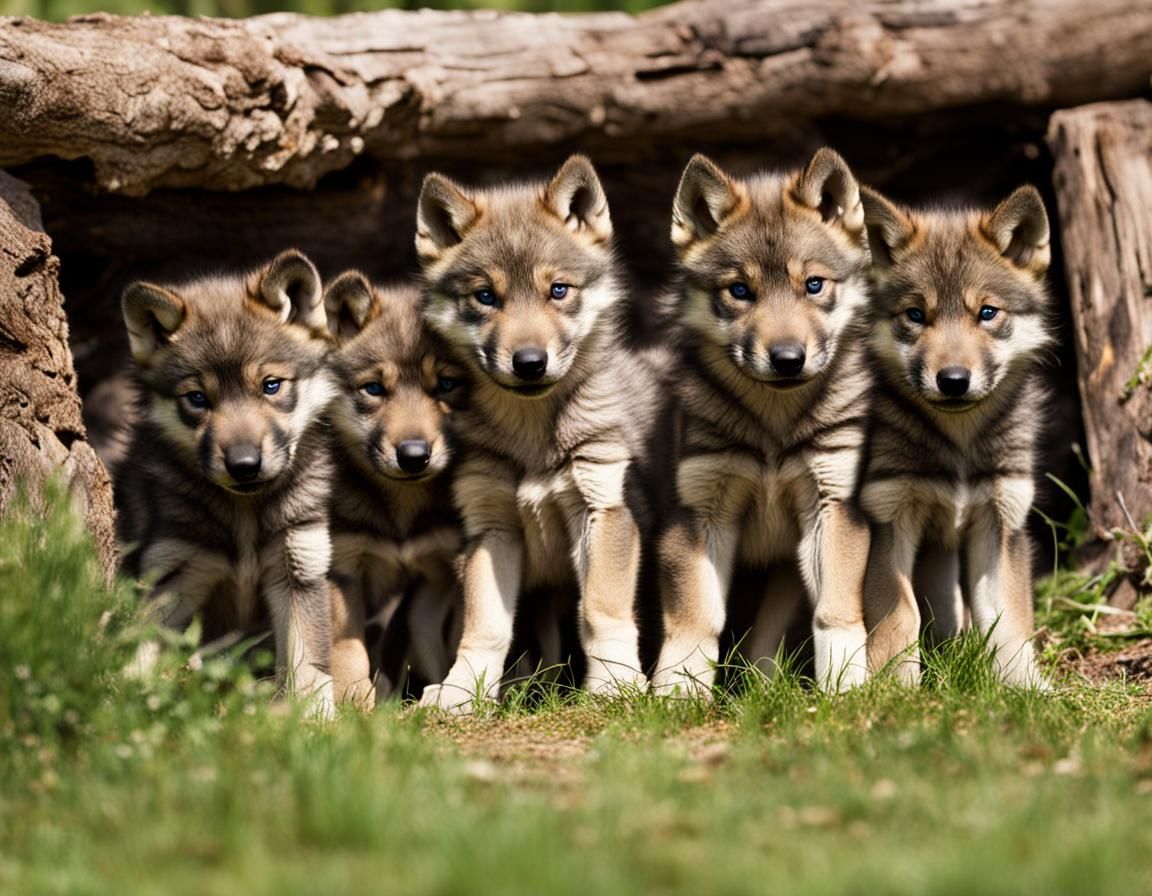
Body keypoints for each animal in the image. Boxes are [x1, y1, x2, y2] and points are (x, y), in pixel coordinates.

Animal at [116, 250, 338, 715]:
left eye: (271, 385)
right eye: (197, 399)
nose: (244, 465)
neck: (245, 513)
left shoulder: (300, 568)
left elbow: (309, 665)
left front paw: (317, 718)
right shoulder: (171, 574)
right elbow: (141, 647)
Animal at [323, 271, 465, 707]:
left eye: (447, 385)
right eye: (373, 389)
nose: (414, 456)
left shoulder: (444, 569)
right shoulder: (341, 570)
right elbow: (347, 648)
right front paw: (354, 700)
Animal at [413, 155, 668, 712]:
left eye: (559, 290)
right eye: (486, 297)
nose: (529, 362)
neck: (532, 438)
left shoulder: (604, 510)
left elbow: (601, 612)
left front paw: (614, 686)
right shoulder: (491, 530)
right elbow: (484, 629)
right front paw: (461, 692)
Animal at [653, 148, 874, 694]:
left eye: (813, 285)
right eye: (739, 290)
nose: (788, 359)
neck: (773, 429)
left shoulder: (832, 508)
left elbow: (834, 613)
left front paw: (845, 690)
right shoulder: (698, 516)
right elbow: (696, 620)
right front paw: (677, 694)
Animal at [859, 185, 1052, 687]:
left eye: (987, 313)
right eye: (915, 315)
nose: (953, 380)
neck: (958, 444)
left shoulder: (1001, 521)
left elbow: (1008, 623)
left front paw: (1029, 688)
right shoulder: (889, 519)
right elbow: (900, 618)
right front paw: (896, 689)